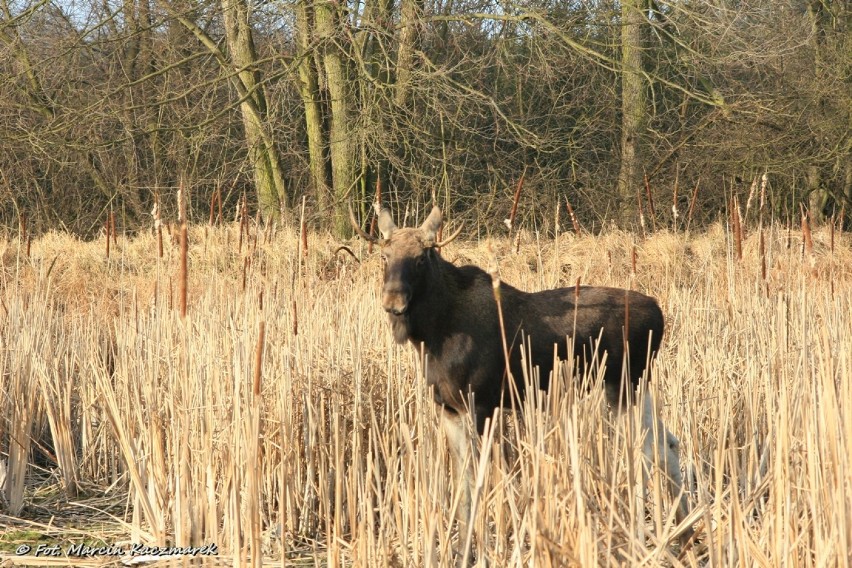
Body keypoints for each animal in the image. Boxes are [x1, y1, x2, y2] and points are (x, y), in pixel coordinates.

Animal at [350, 205, 688, 544]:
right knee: (668, 443)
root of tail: (659, 313)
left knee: (647, 450)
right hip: (636, 387)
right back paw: (682, 526)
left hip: (622, 386)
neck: (432, 336)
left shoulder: (481, 403)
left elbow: (482, 476)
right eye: (384, 256)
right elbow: (462, 481)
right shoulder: (448, 407)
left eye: (421, 258)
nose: (393, 301)